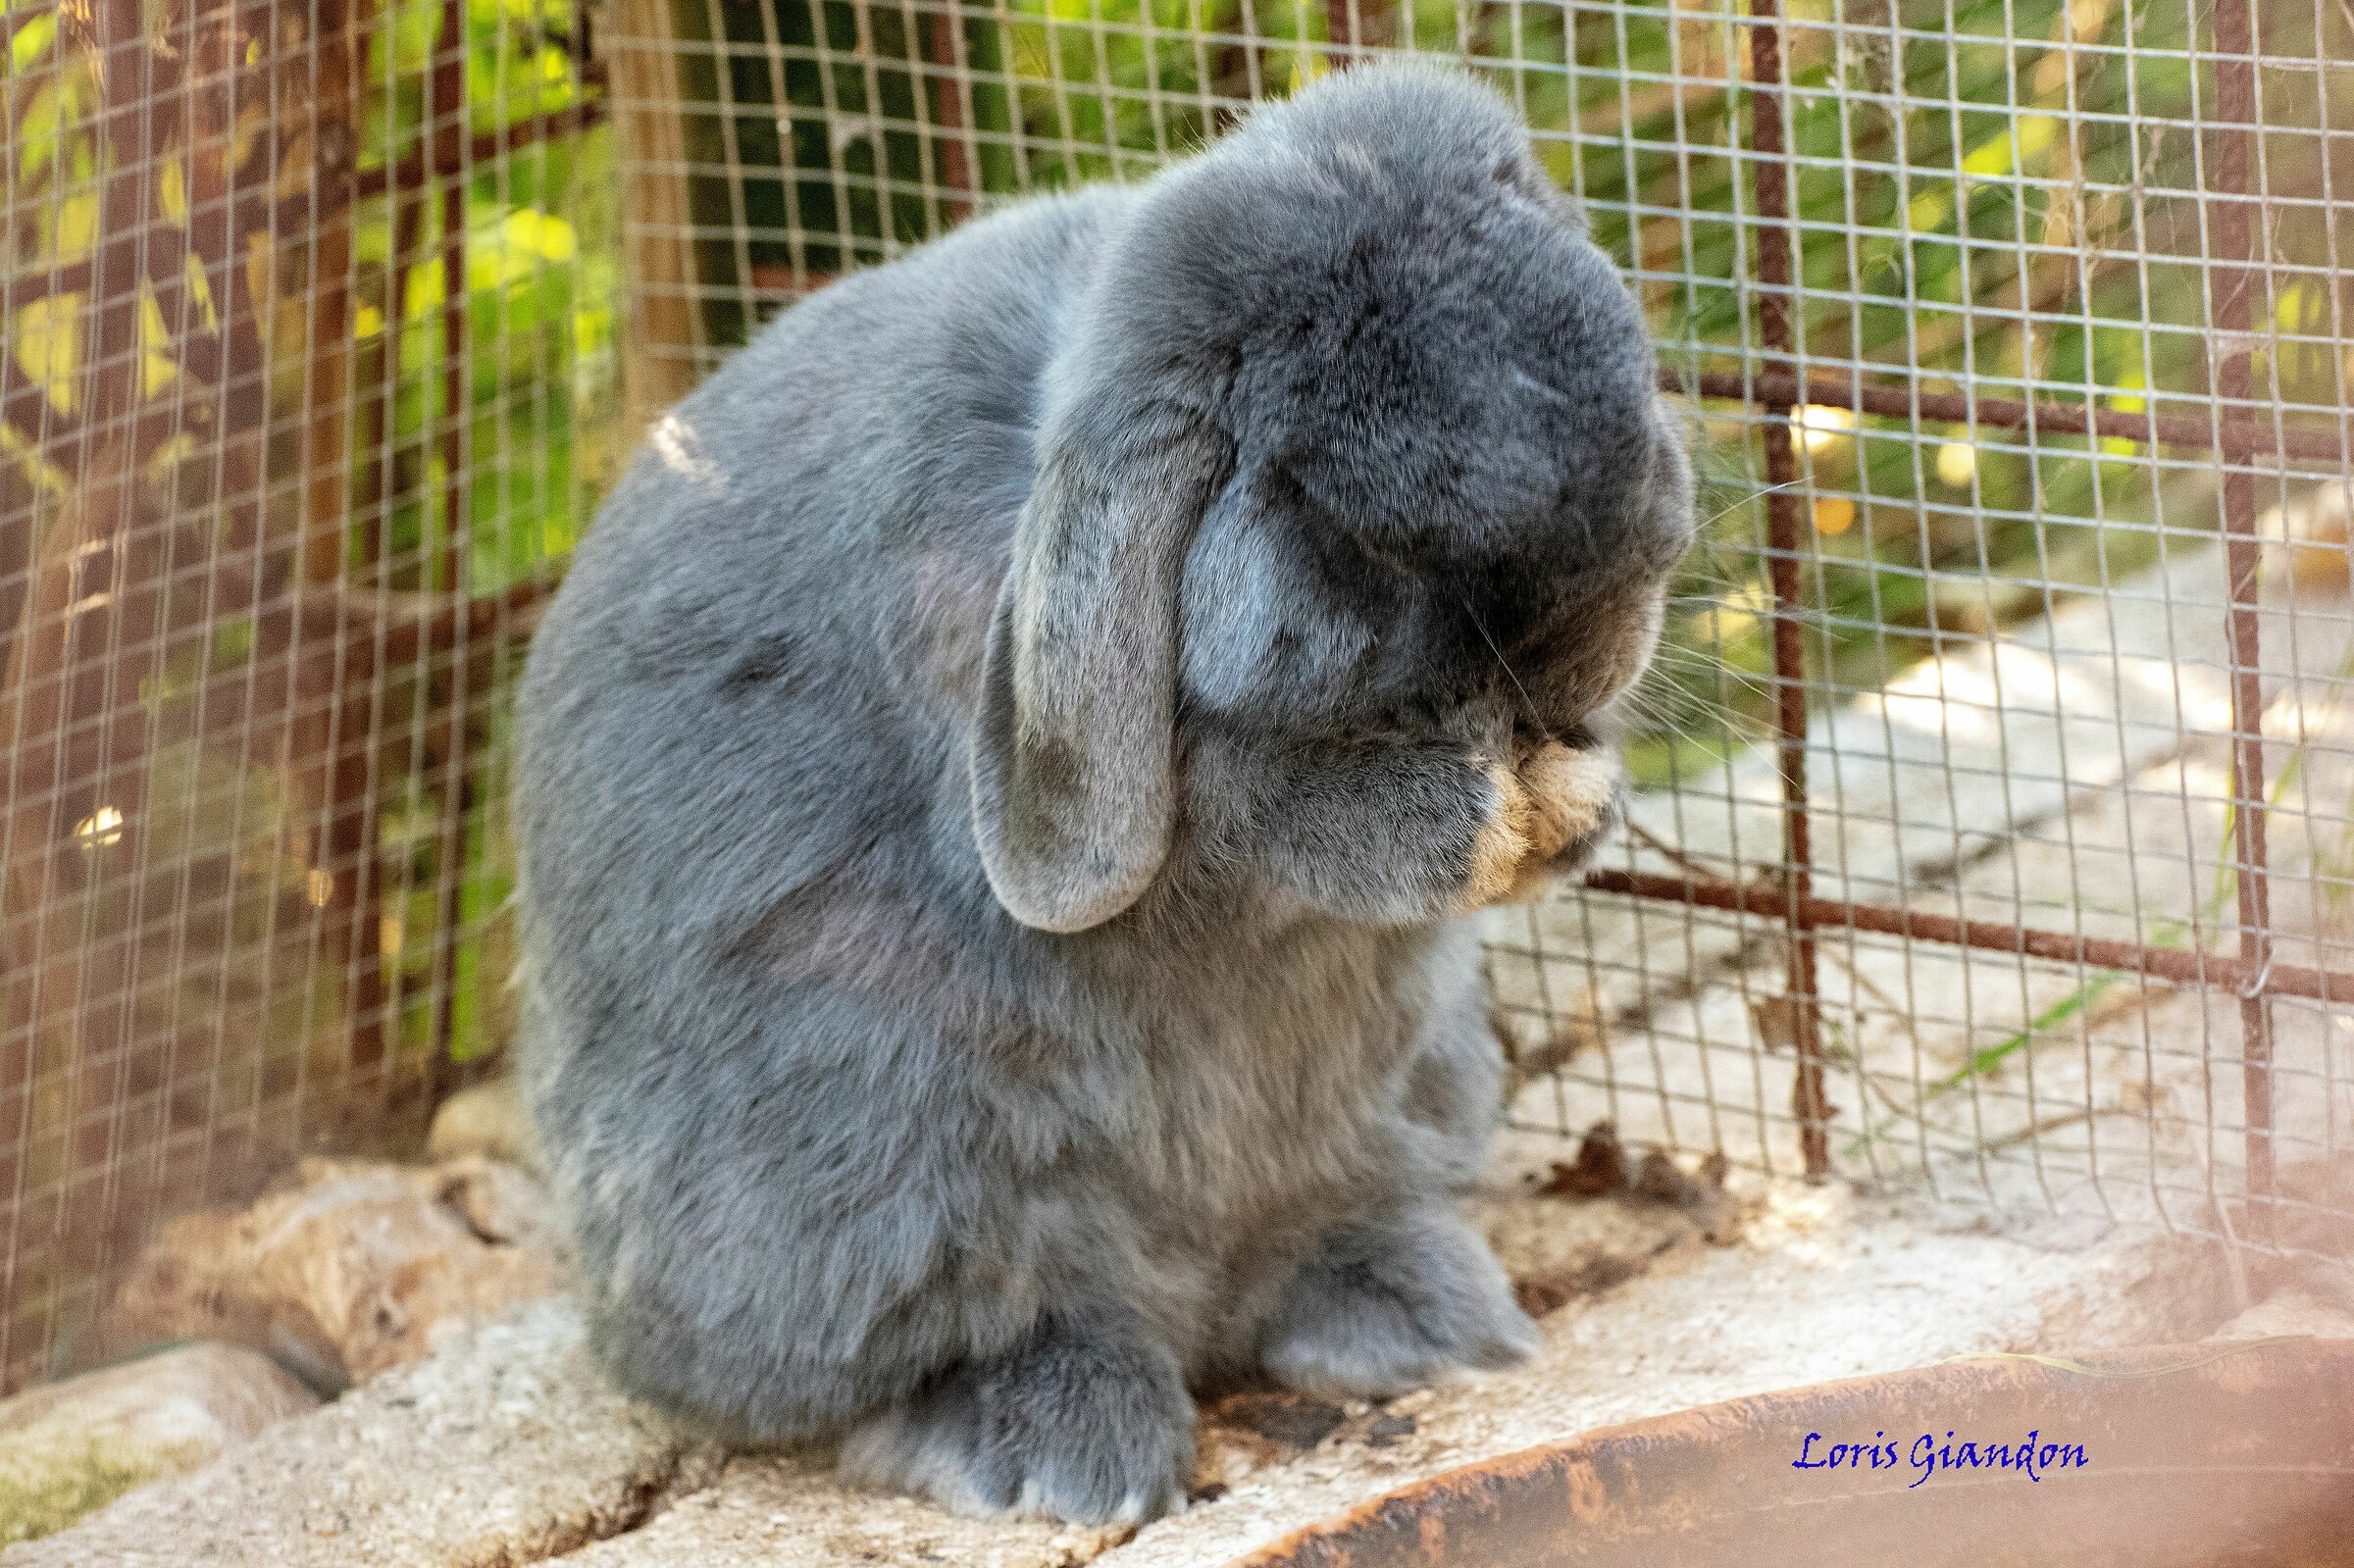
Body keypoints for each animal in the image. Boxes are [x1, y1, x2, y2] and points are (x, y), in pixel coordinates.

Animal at [511, 59, 1694, 1528]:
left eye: (1629, 374)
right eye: (1345, 517)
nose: (1590, 629)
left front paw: (1576, 799)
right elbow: (1275, 809)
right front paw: (1479, 819)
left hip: (1407, 1086)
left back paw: (1419, 1321)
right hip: (868, 1171)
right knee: (974, 1328)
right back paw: (1057, 1447)